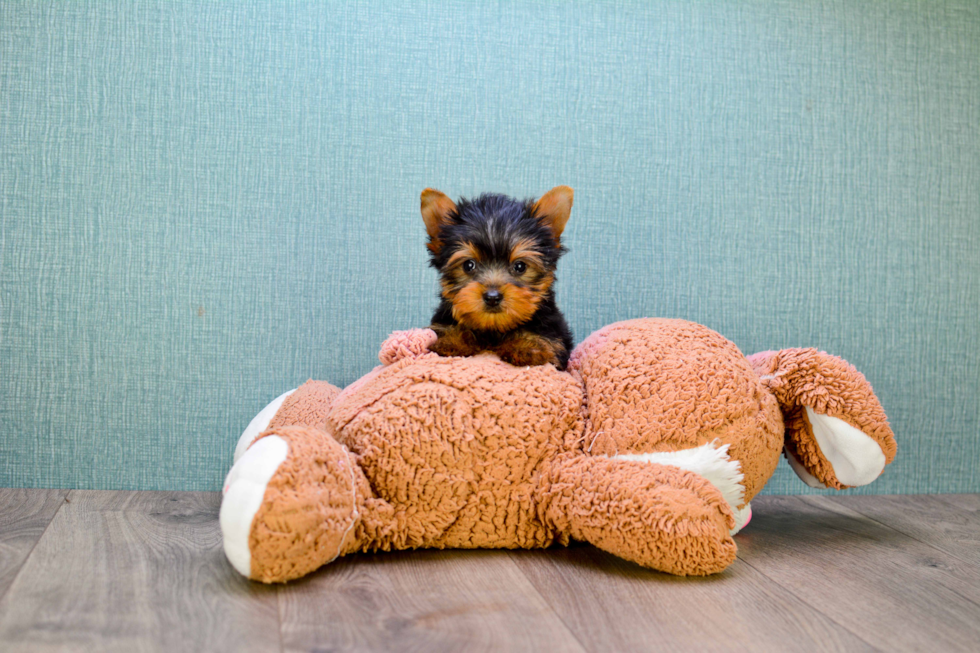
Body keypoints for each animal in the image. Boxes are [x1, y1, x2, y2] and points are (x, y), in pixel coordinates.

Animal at [420, 186, 576, 370]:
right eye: (468, 265)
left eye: (520, 266)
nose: (492, 297)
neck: (493, 329)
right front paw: (451, 339)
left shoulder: (555, 333)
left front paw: (527, 346)